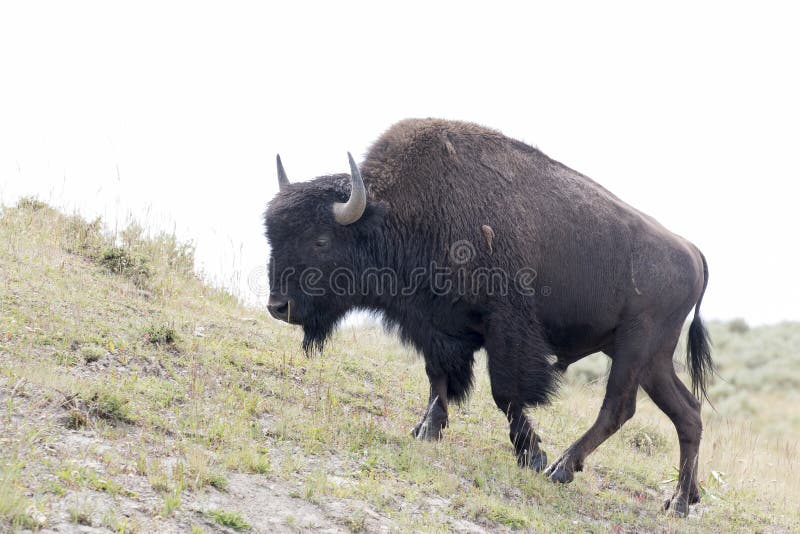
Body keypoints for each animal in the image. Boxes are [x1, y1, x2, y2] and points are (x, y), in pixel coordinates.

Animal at [264, 119, 713, 516]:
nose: (278, 306)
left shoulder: (506, 328)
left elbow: (506, 394)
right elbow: (438, 378)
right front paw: (426, 430)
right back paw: (680, 502)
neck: (396, 212)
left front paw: (531, 455)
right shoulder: (434, 326)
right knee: (687, 413)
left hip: (635, 347)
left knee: (619, 408)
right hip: (651, 359)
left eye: (321, 240)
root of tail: (693, 252)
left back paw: (562, 468)